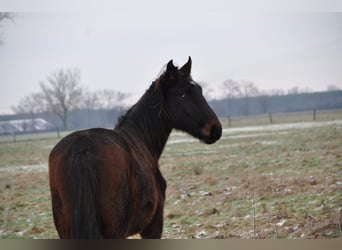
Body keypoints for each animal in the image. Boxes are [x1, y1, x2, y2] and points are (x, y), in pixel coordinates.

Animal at [49, 57, 223, 238]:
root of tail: (82, 148)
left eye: (199, 90)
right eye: (183, 94)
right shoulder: (152, 226)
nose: (215, 129)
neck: (141, 140)